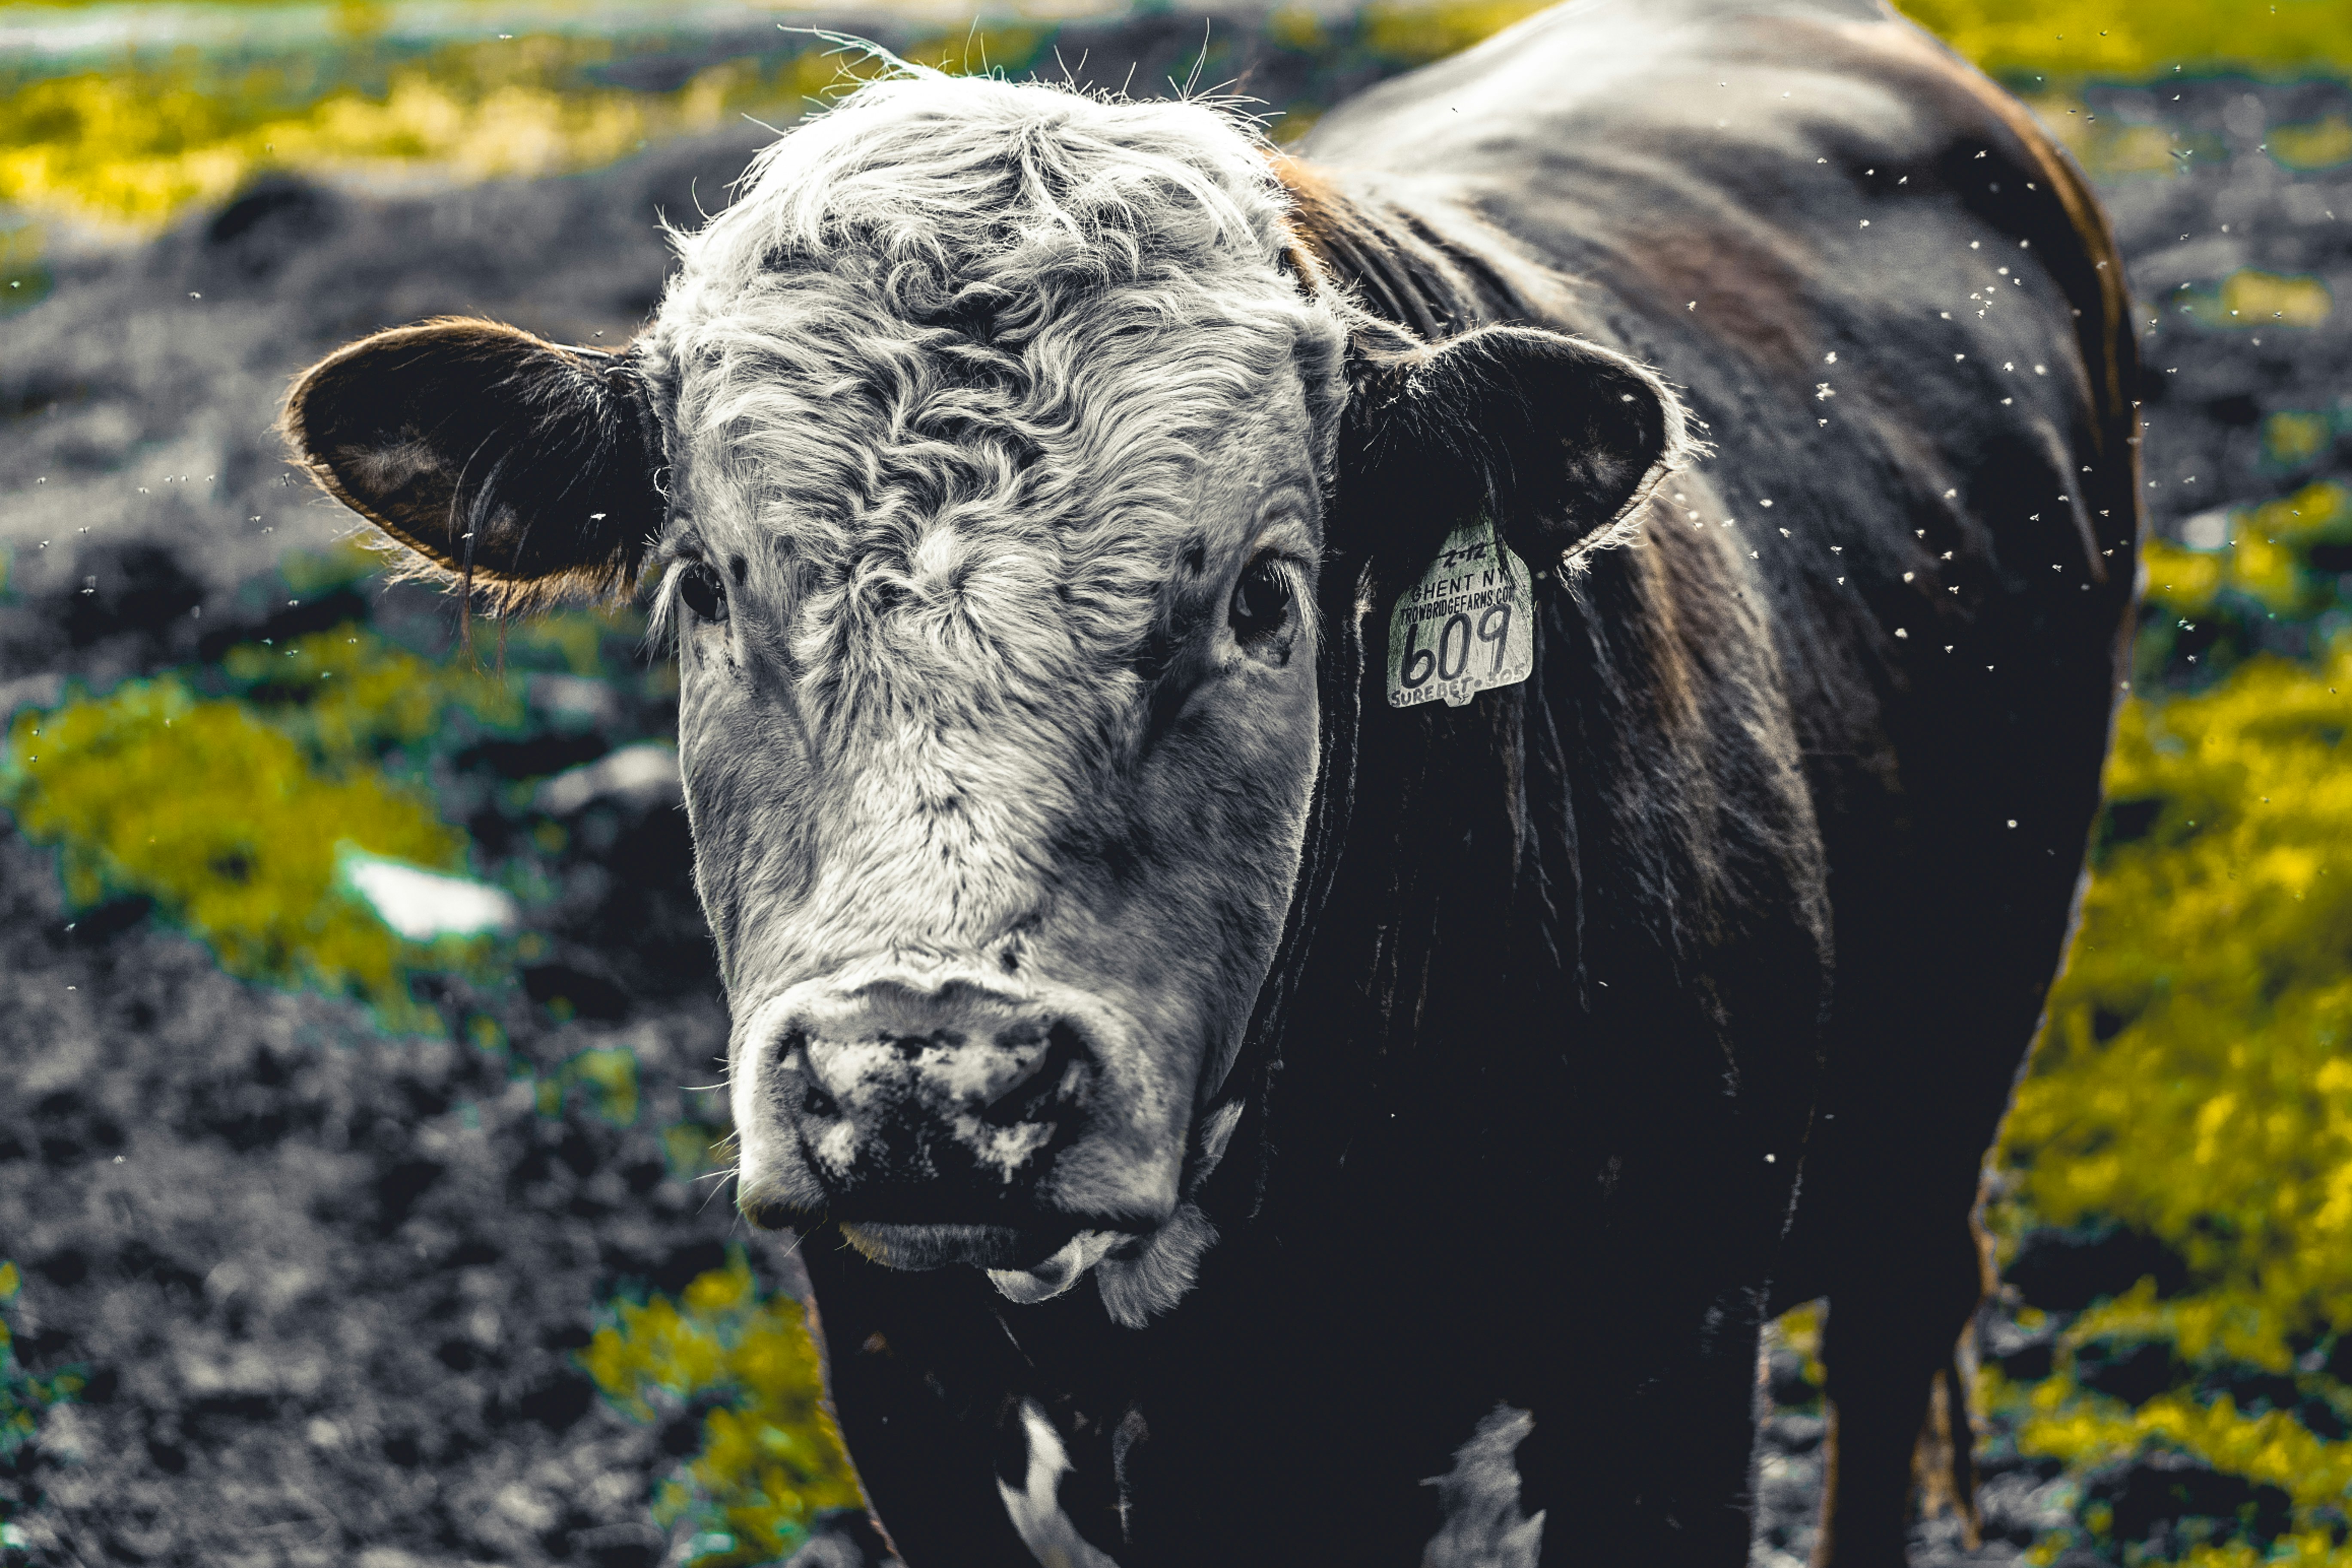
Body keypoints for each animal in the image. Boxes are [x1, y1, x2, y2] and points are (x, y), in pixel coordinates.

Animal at [281, 0, 2139, 1559]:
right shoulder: (898, 1389)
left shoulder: (1665, 1375)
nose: (928, 1076)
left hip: (1943, 1100)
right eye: (705, 585)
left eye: (1263, 594)